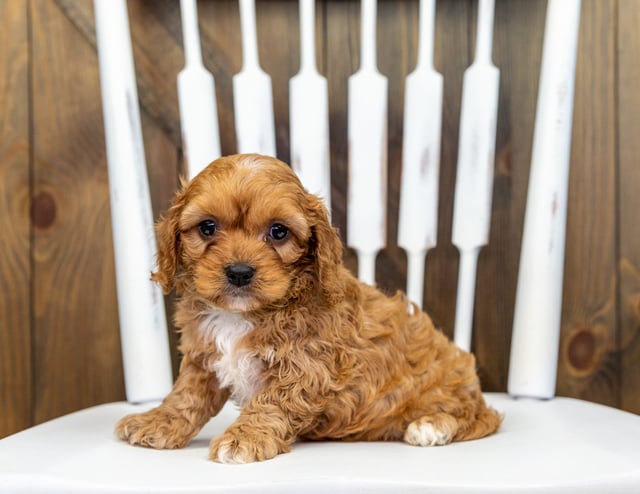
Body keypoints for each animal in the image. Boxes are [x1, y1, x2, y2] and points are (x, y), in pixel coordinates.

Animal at [117, 153, 502, 464]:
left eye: (278, 232)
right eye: (207, 227)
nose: (239, 272)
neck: (245, 314)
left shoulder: (307, 368)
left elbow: (271, 403)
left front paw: (244, 438)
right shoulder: (204, 359)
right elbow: (185, 396)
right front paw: (157, 421)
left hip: (452, 384)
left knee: (479, 417)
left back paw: (431, 425)